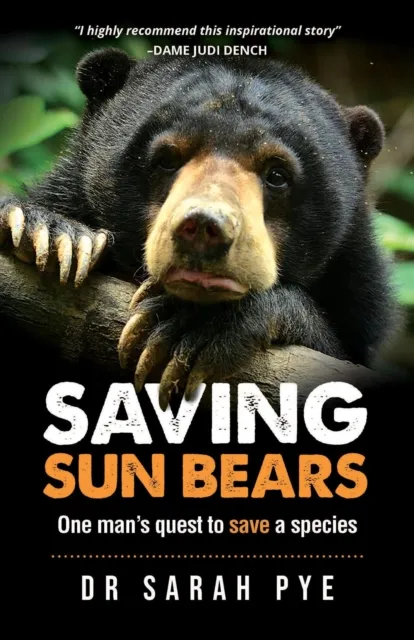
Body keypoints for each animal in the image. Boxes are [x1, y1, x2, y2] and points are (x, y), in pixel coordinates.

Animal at [0, 48, 399, 410]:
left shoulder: (359, 296)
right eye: (167, 159)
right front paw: (53, 236)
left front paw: (189, 327)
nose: (204, 227)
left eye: (277, 174)